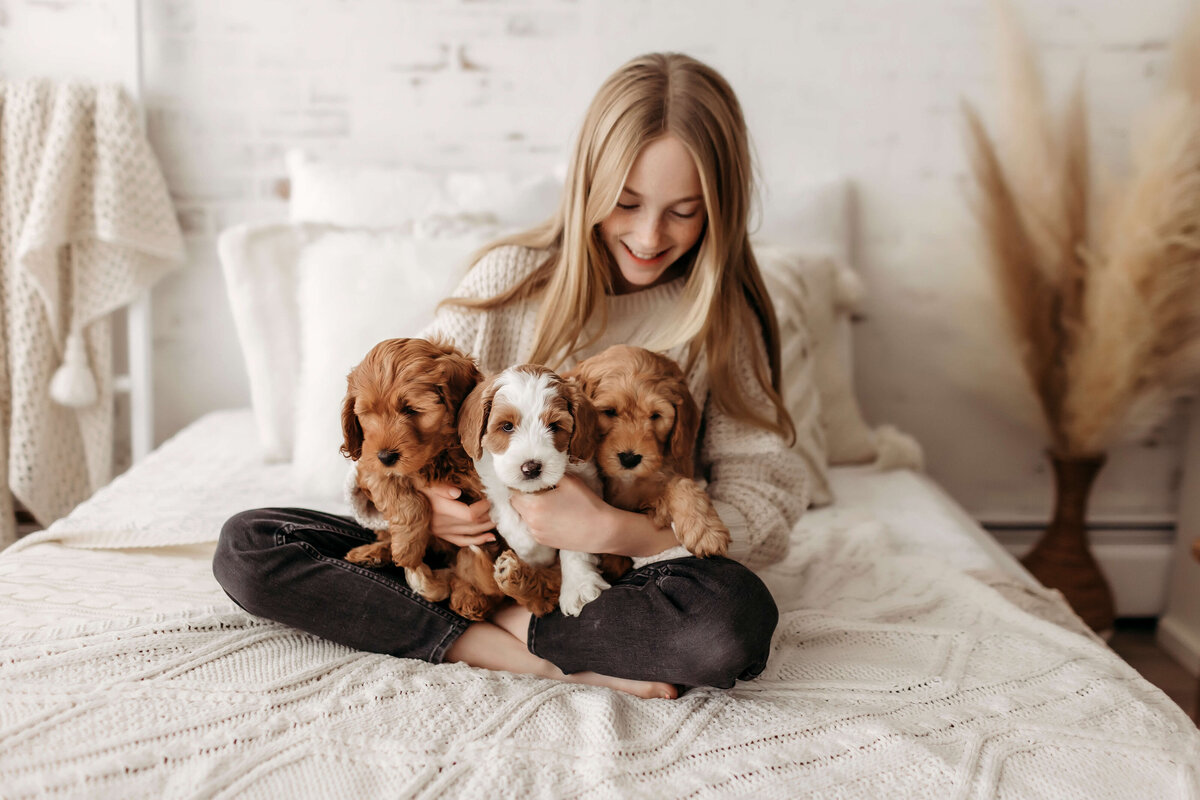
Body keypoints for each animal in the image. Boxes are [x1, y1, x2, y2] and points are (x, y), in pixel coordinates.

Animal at [340, 335, 504, 623]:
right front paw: (407, 549)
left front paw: (470, 593)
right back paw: (374, 552)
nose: (386, 456)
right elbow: (407, 500)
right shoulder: (369, 465)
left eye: (411, 409)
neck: (435, 459)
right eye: (368, 414)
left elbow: (473, 553)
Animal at [456, 364, 614, 618]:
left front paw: (577, 586)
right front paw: (541, 557)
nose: (531, 468)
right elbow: (518, 531)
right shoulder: (495, 490)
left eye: (554, 426)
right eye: (507, 426)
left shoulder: (587, 484)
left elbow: (575, 542)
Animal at [568, 345, 729, 563]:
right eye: (609, 411)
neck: (626, 481)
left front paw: (706, 531)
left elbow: (681, 484)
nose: (629, 458)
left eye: (655, 416)